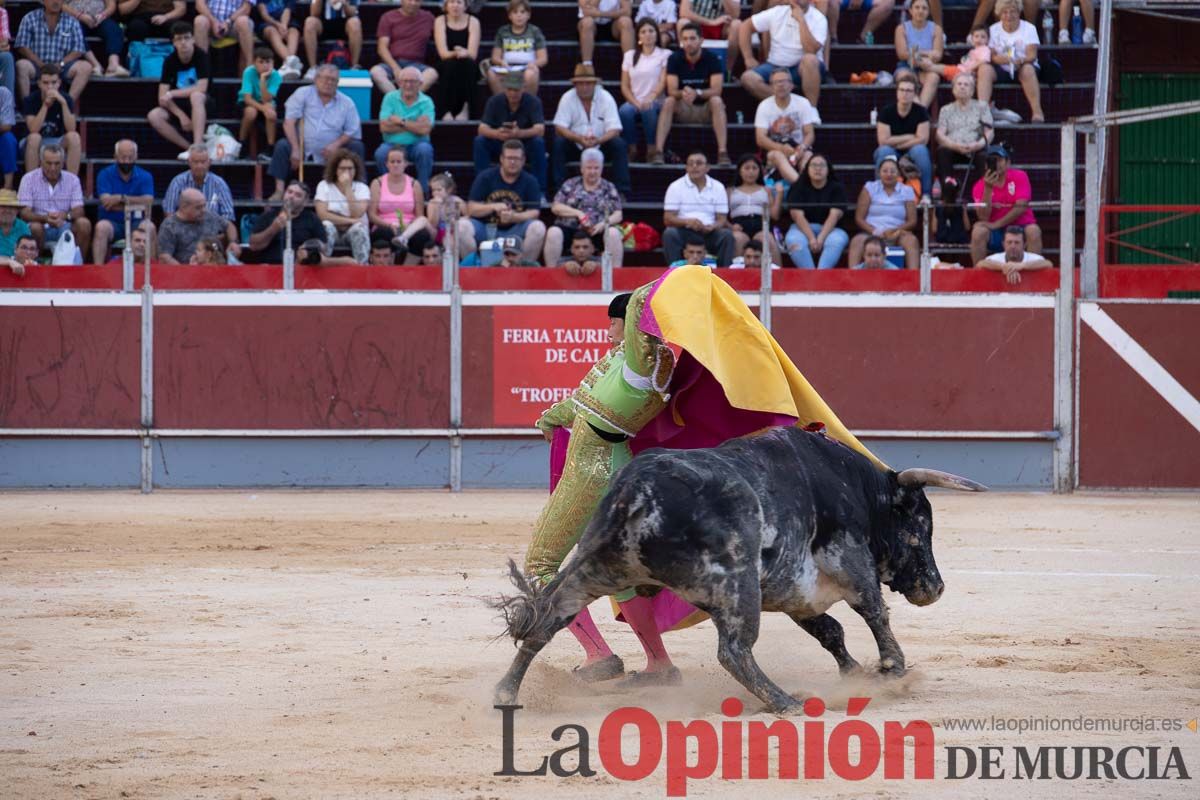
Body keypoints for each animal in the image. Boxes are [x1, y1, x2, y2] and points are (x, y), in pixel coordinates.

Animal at [494, 424, 984, 714]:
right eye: (921, 522)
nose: (935, 587)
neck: (856, 489)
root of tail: (635, 495)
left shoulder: (796, 592)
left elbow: (830, 631)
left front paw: (857, 674)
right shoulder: (849, 559)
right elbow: (873, 612)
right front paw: (892, 670)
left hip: (594, 567)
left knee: (545, 621)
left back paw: (505, 693)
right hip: (737, 585)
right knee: (733, 650)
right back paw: (787, 702)